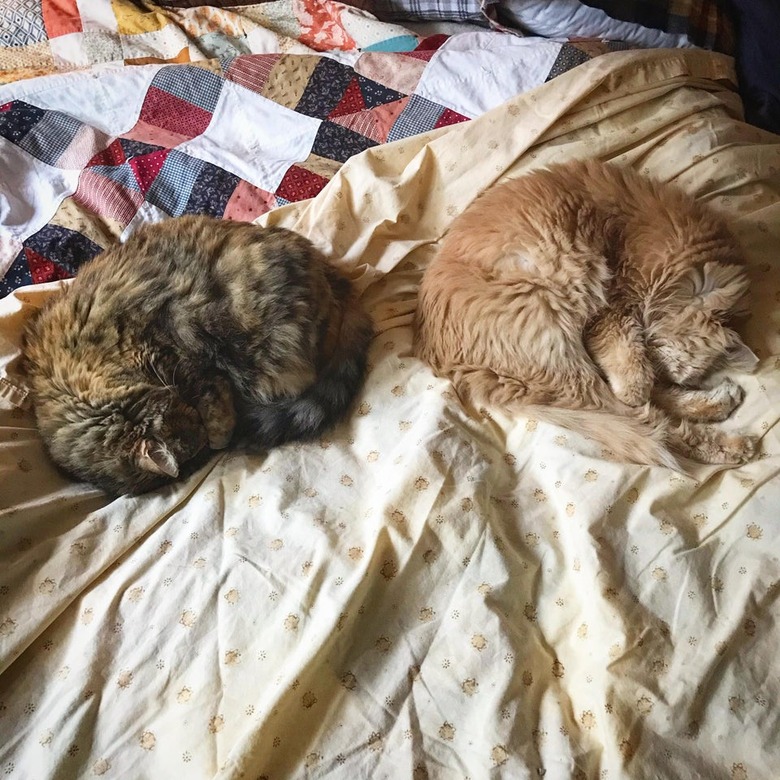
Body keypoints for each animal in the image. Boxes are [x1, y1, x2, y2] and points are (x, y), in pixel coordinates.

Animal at [21, 213, 374, 494]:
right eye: (193, 445)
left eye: (196, 431)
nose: (208, 444)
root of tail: (335, 279)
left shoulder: (173, 350)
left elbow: (212, 394)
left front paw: (222, 433)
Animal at [414, 155, 760, 466]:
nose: (664, 374)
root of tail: (445, 361)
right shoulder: (611, 311)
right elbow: (635, 374)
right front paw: (638, 385)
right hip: (557, 344)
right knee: (646, 419)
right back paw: (731, 440)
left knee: (643, 411)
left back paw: (721, 402)